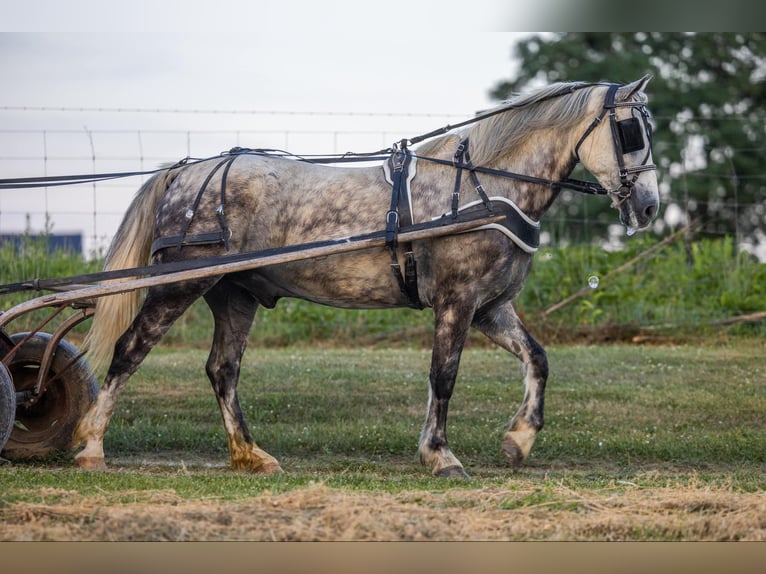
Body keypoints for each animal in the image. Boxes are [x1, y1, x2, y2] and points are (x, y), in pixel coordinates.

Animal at [73, 76, 659, 478]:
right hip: (178, 285)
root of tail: (188, 171)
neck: (484, 189)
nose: (650, 207)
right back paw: (92, 444)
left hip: (234, 295)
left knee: (223, 370)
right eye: (630, 130)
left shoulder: (490, 308)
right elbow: (444, 376)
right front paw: (440, 455)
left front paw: (519, 440)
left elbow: (537, 359)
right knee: (129, 350)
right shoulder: (457, 302)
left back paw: (251, 455)